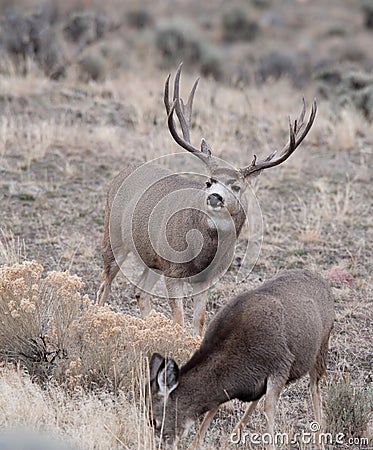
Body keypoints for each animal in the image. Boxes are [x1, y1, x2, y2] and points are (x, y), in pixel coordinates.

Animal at [96, 65, 316, 336]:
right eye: (209, 181)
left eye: (237, 186)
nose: (214, 197)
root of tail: (120, 175)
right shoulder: (174, 269)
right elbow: (179, 321)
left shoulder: (207, 278)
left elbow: (198, 321)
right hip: (113, 237)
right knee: (104, 284)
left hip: (151, 258)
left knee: (139, 290)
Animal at [148, 268, 334, 448]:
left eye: (155, 421)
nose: (161, 445)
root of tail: (323, 281)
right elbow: (215, 406)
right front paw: (196, 443)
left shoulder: (281, 364)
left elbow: (269, 408)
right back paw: (234, 436)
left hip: (321, 347)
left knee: (314, 387)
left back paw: (319, 440)